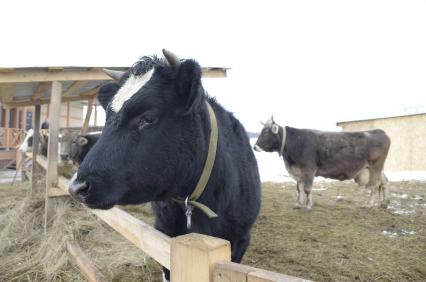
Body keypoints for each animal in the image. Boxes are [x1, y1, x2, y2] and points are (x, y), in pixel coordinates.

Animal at [255, 116, 392, 209]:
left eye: (265, 132)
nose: (255, 147)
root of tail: (379, 131)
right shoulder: (298, 171)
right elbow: (299, 188)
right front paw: (298, 204)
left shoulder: (309, 169)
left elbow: (307, 189)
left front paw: (308, 206)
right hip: (375, 168)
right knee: (384, 182)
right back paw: (384, 203)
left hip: (375, 166)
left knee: (375, 185)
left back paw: (369, 204)